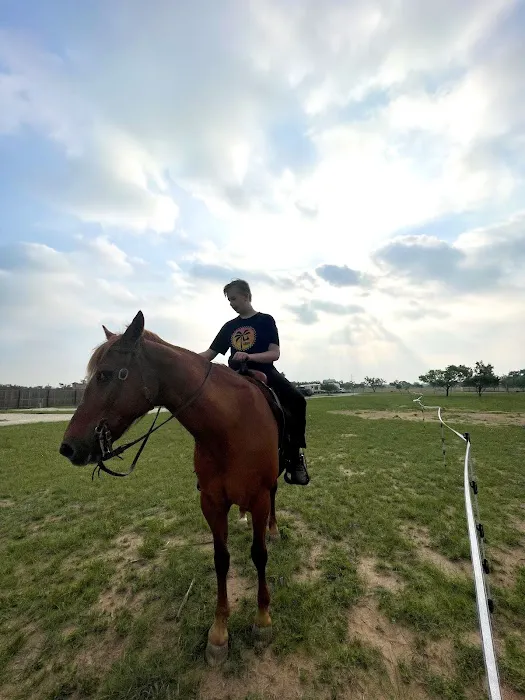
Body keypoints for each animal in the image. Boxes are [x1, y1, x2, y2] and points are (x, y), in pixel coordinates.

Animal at [59, 310, 281, 665]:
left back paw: (273, 529)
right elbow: (221, 560)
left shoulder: (259, 497)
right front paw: (219, 633)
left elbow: (259, 555)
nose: (68, 448)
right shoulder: (212, 502)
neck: (229, 426)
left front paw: (262, 620)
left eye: (105, 375)